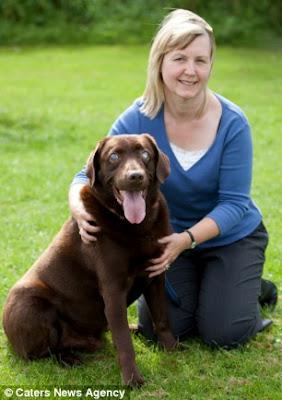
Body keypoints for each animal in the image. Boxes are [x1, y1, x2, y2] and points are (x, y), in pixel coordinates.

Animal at [2, 134, 176, 388]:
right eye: (114, 157)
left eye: (145, 154)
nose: (135, 177)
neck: (135, 225)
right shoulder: (112, 289)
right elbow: (124, 342)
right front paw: (132, 379)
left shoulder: (156, 275)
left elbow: (162, 317)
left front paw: (171, 348)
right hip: (30, 304)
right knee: (42, 353)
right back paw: (69, 359)